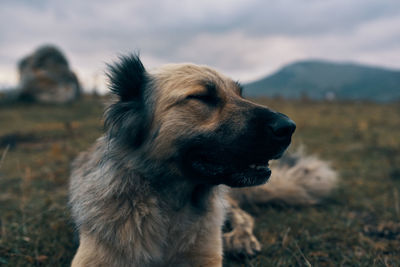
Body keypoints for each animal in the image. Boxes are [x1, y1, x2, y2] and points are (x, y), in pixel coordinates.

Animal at [69, 53, 310, 266]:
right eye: (202, 97)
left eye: (241, 94)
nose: (288, 128)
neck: (171, 206)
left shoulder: (206, 255)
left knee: (244, 216)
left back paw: (241, 239)